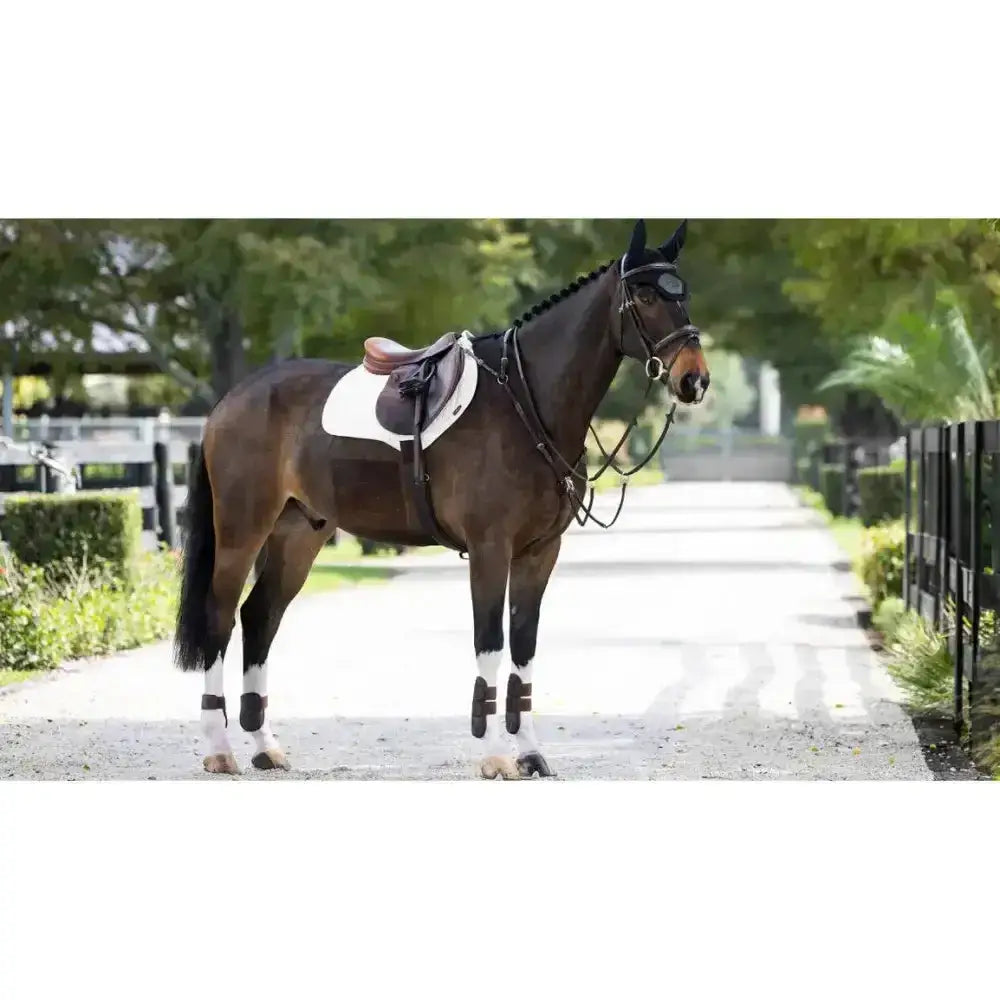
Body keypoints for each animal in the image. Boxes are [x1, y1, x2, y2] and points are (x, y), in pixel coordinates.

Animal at [173, 219, 710, 779]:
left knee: (259, 617)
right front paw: (495, 756)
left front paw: (531, 753)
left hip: (299, 533)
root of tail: (232, 400)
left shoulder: (540, 553)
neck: (524, 403)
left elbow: (524, 649)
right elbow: (490, 644)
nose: (694, 379)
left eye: (684, 293)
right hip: (242, 530)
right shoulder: (490, 549)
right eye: (645, 295)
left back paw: (264, 746)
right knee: (220, 616)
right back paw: (220, 749)